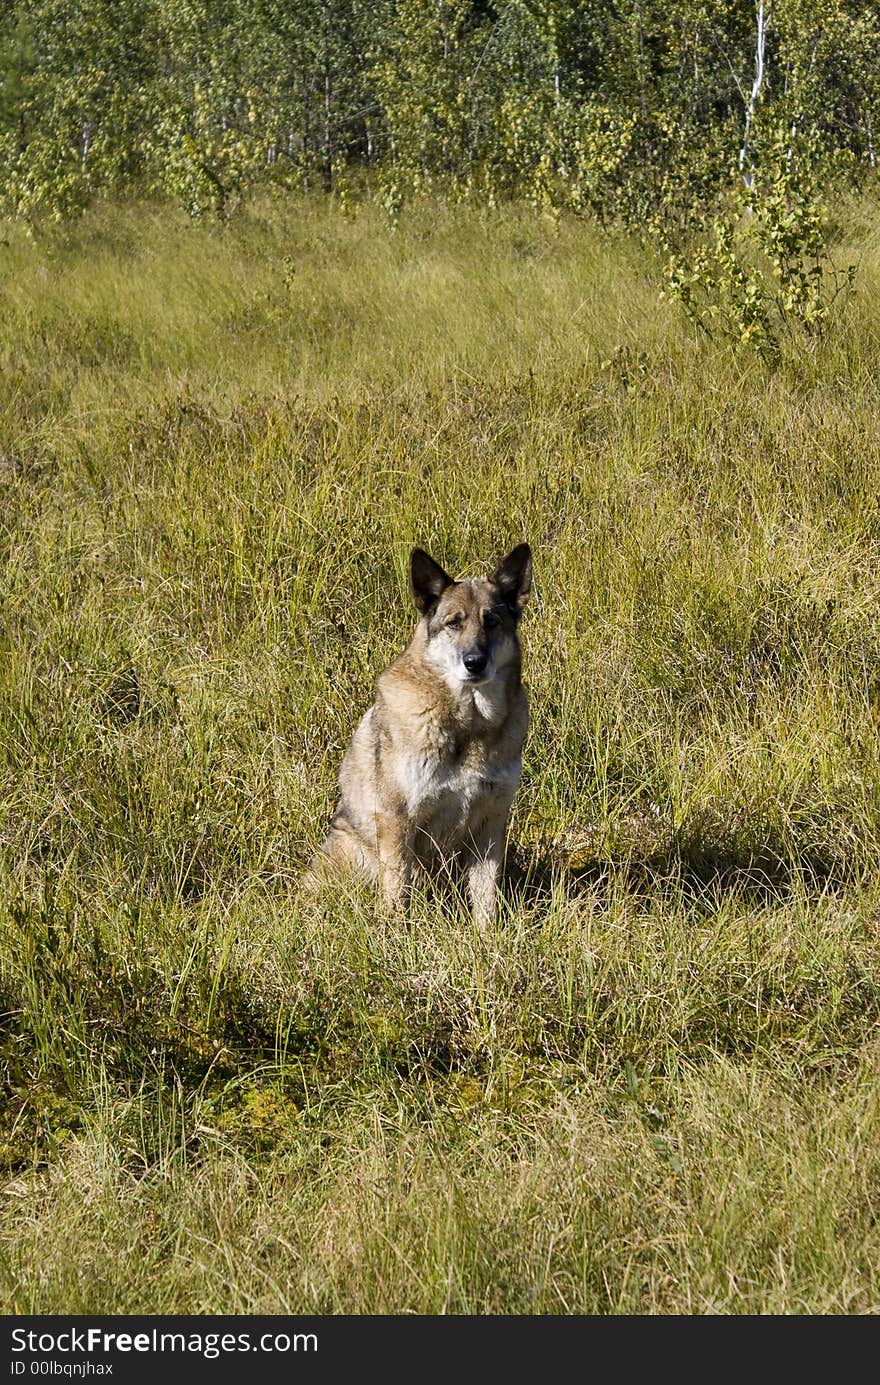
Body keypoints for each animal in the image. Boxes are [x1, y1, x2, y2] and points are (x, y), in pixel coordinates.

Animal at [306, 545, 534, 925]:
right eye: (454, 623)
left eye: (492, 621)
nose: (475, 662)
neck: (467, 725)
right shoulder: (397, 820)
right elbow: (397, 894)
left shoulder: (491, 821)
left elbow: (486, 898)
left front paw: (488, 937)